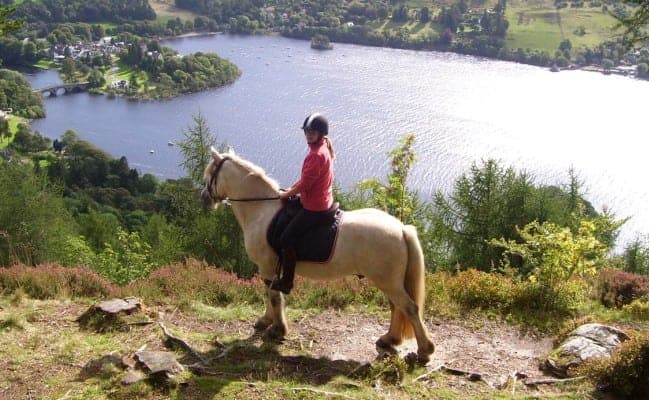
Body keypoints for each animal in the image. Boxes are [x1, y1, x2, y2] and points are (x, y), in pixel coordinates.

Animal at [202, 147, 436, 362]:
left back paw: (424, 351)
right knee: (397, 308)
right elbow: (269, 294)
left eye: (209, 175)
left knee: (409, 308)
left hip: (388, 281)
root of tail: (401, 228)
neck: (262, 210)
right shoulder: (268, 268)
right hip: (389, 281)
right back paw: (389, 339)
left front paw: (277, 330)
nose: (204, 198)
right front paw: (266, 322)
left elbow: (274, 296)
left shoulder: (267, 266)